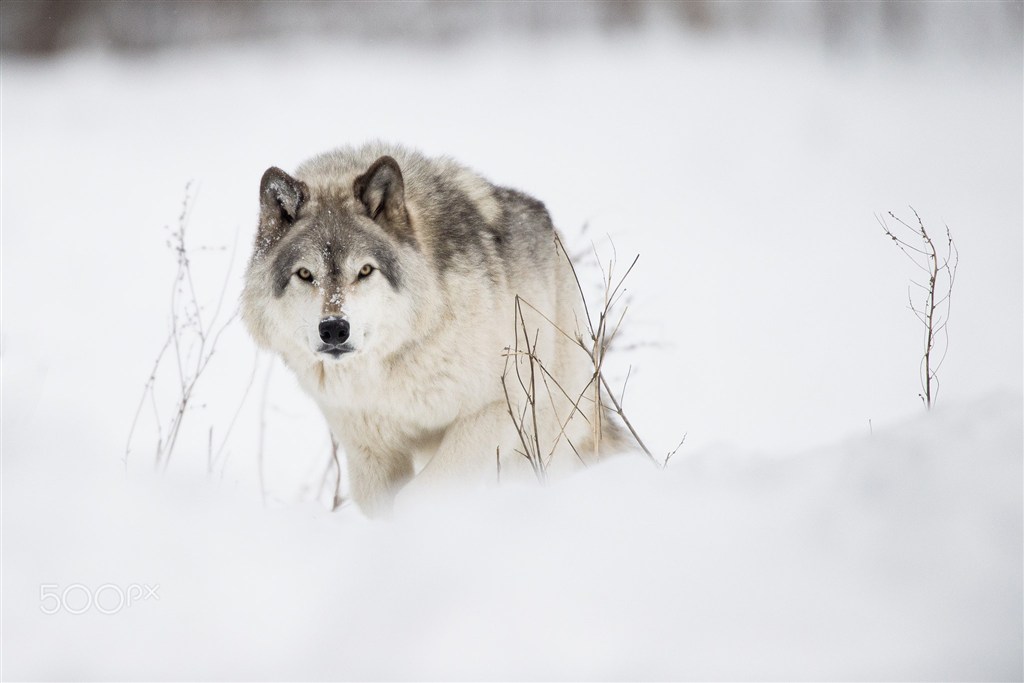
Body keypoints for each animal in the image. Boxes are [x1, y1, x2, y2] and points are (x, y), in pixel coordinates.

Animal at [241, 144, 622, 518]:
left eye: (365, 270)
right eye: (305, 274)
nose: (334, 329)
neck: (390, 368)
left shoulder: (493, 409)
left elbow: (416, 496)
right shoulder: (370, 453)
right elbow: (380, 505)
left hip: (533, 440)